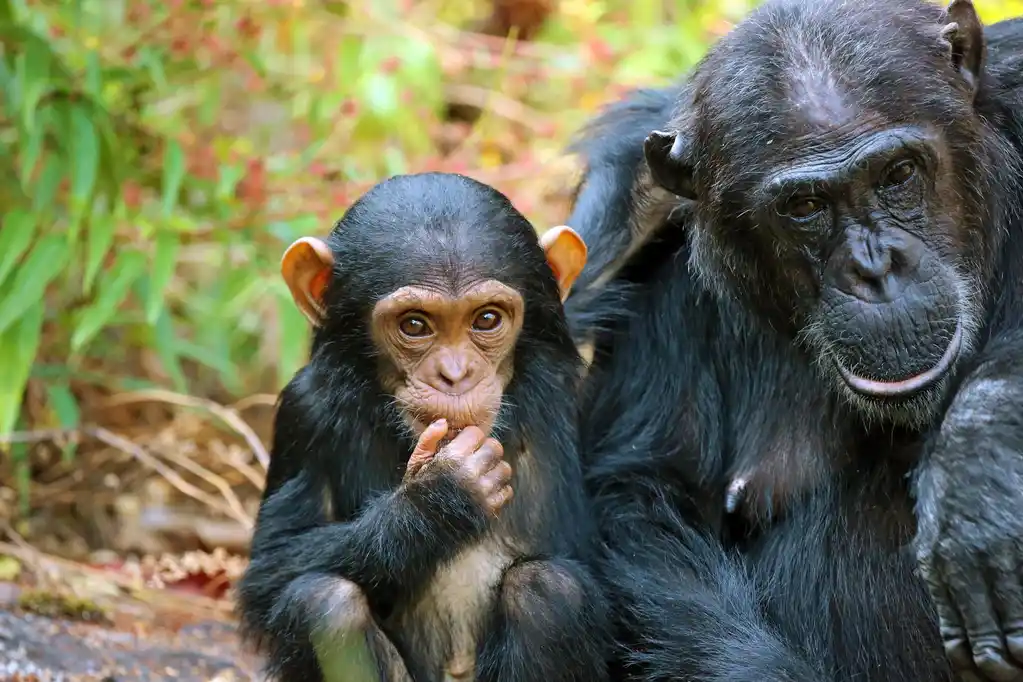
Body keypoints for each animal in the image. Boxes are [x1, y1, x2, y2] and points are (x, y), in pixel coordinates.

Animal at [568, 1, 1023, 682]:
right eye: (805, 207)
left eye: (898, 175)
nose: (874, 269)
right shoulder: (658, 276)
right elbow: (643, 502)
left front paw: (978, 470)